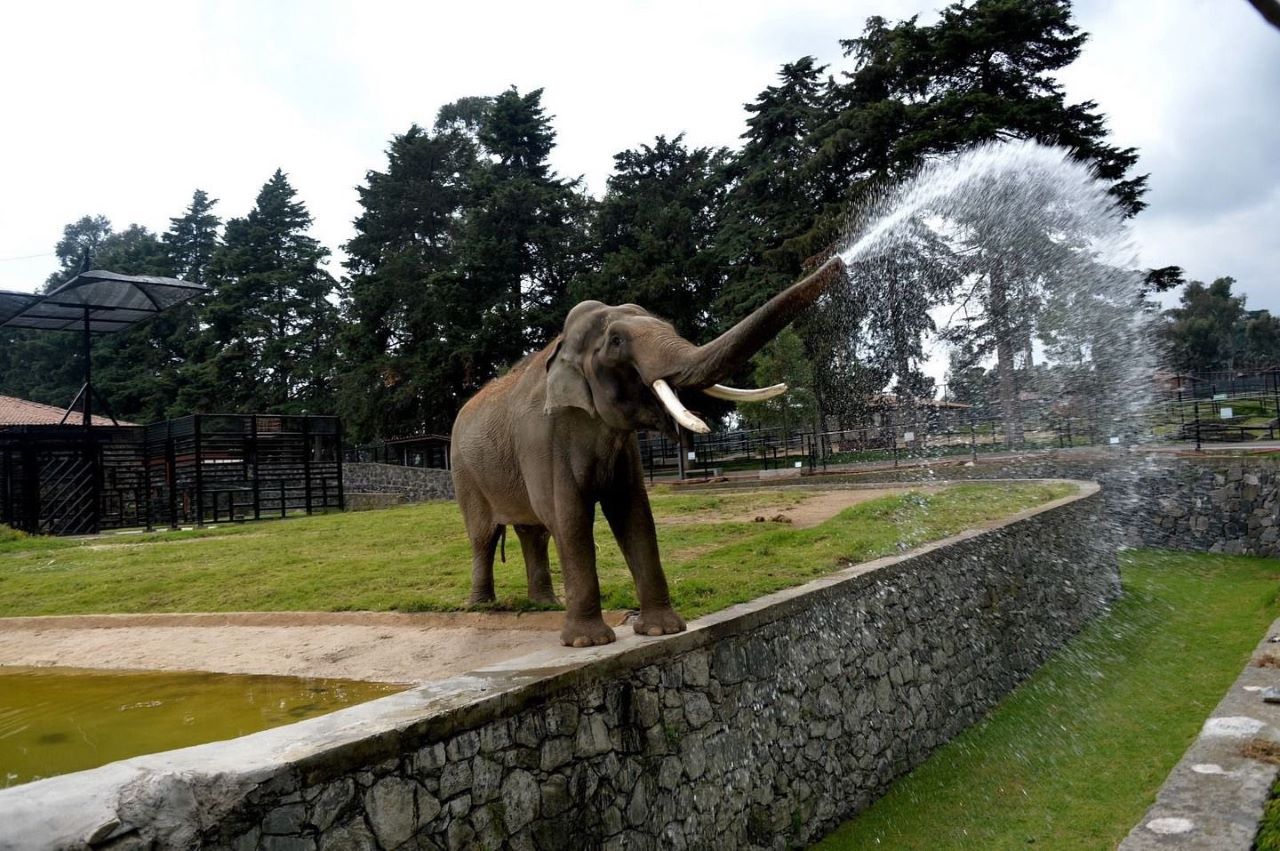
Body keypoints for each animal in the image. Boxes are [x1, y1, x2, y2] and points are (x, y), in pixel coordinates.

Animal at [445, 255, 844, 647]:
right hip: (463, 471)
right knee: (484, 536)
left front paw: (661, 631)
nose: (839, 260)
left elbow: (633, 512)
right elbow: (568, 515)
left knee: (533, 532)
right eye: (616, 341)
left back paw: (545, 604)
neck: (561, 344)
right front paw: (588, 642)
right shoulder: (542, 438)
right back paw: (482, 606)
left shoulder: (622, 448)